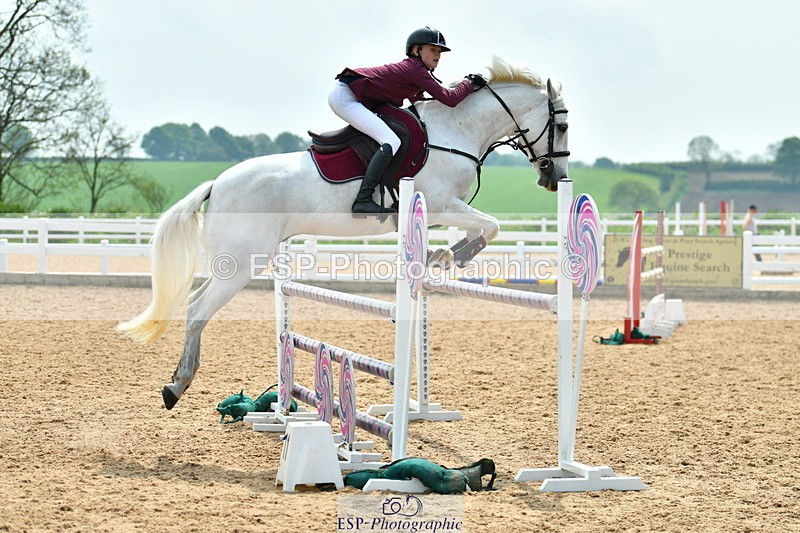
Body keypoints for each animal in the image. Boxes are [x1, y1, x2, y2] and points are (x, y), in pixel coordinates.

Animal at [119, 56, 571, 410]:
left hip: (237, 260)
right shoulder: (441, 204)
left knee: (196, 303)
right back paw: (177, 386)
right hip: (242, 263)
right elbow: (490, 225)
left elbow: (482, 228)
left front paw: (439, 257)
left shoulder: (437, 211)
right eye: (562, 127)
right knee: (198, 310)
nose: (555, 178)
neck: (454, 131)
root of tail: (217, 183)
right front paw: (449, 257)